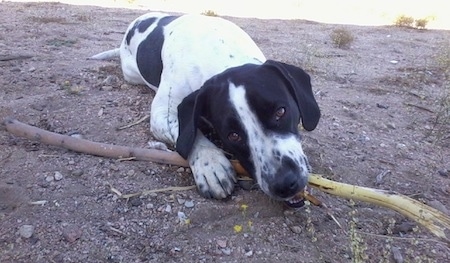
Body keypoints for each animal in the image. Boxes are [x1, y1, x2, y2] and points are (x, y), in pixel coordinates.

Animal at [91, 12, 322, 206]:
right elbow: (188, 134)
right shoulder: (162, 114)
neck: (219, 50)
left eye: (280, 112)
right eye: (233, 135)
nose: (284, 183)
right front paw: (210, 164)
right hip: (132, 74)